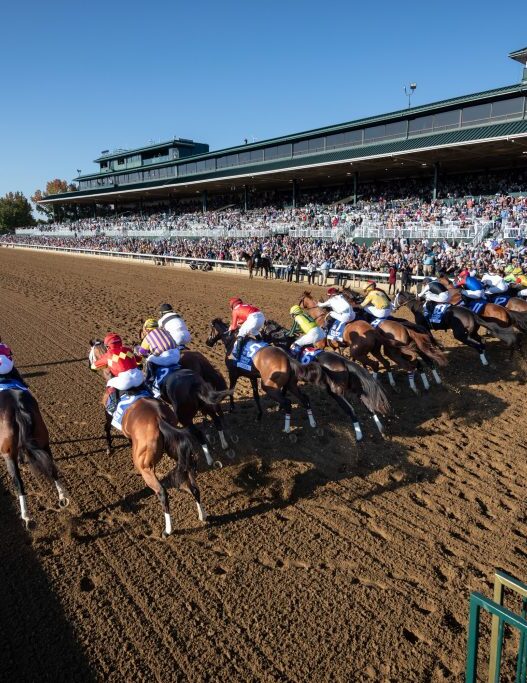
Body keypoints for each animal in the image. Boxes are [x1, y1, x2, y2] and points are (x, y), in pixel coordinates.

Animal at [0, 384, 70, 528]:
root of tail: (18, 408)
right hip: (44, 442)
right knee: (52, 469)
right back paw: (62, 497)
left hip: (8, 454)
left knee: (19, 482)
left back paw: (26, 516)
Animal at [88, 342, 204, 540]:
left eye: (91, 355)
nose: (90, 366)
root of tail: (159, 419)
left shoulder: (107, 414)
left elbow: (106, 429)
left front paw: (109, 448)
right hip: (178, 454)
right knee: (191, 485)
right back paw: (202, 515)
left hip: (145, 465)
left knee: (162, 492)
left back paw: (167, 530)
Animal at [262, 320, 390, 438]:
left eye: (265, 331)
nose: (261, 338)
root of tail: (345, 362)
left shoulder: (292, 377)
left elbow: (285, 389)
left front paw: (280, 406)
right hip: (356, 389)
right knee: (369, 407)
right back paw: (381, 429)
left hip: (335, 392)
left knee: (351, 410)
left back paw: (359, 436)